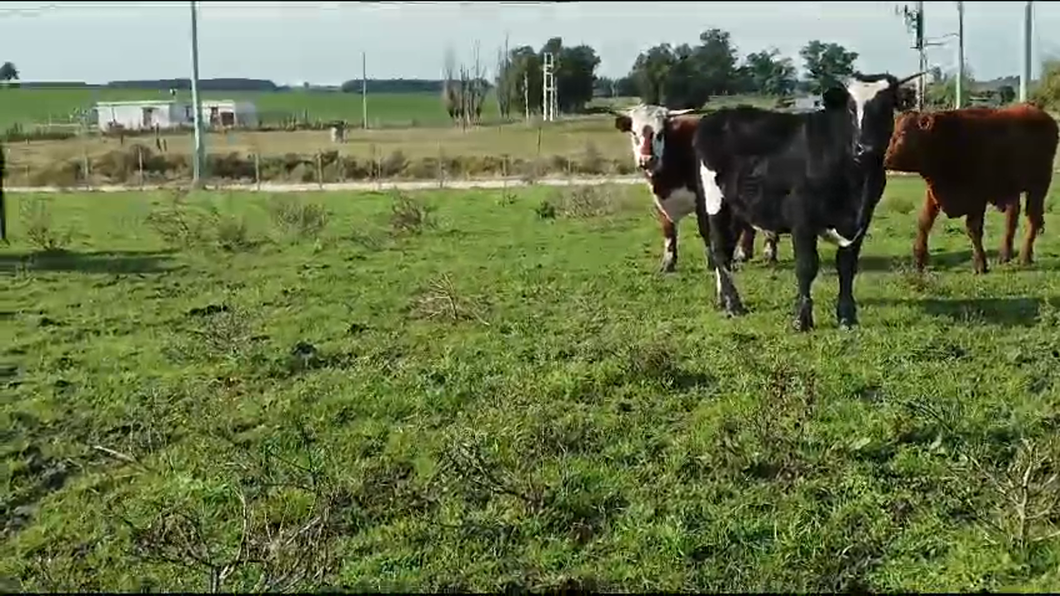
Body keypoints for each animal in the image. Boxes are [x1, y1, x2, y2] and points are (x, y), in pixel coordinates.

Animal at [614, 103, 780, 271]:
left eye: (660, 134)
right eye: (634, 133)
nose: (646, 160)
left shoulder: (703, 200)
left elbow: (705, 230)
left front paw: (712, 262)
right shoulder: (660, 202)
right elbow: (669, 231)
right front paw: (668, 263)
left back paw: (768, 253)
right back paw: (744, 254)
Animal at [691, 72, 924, 330]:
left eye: (885, 106)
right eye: (851, 109)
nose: (866, 148)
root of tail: (715, 117)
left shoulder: (862, 220)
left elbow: (847, 267)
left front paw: (847, 316)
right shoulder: (802, 218)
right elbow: (806, 266)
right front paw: (802, 319)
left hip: (737, 208)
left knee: (725, 250)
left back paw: (723, 300)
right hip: (715, 202)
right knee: (719, 251)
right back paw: (734, 304)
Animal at [886, 104, 1060, 273]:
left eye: (903, 133)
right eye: (893, 132)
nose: (886, 159)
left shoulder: (976, 198)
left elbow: (973, 229)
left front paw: (980, 265)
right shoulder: (933, 194)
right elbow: (924, 223)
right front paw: (919, 262)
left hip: (1038, 187)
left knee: (1032, 219)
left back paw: (1024, 257)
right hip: (1012, 189)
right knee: (1012, 218)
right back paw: (1005, 255)